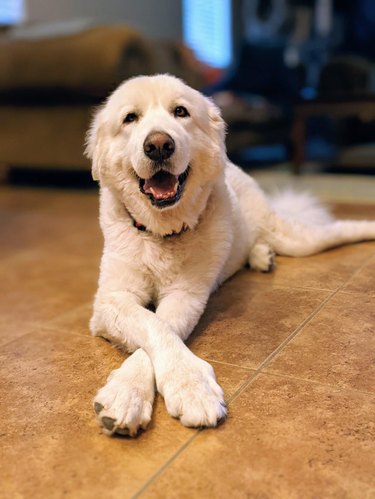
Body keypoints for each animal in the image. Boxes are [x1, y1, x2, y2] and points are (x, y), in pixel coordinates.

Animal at [86, 74, 375, 438]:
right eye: (130, 118)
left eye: (180, 112)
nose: (159, 145)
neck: (160, 233)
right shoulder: (112, 299)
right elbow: (152, 326)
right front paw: (132, 393)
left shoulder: (187, 296)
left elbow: (162, 327)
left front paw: (185, 386)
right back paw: (261, 256)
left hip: (297, 238)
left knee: (336, 230)